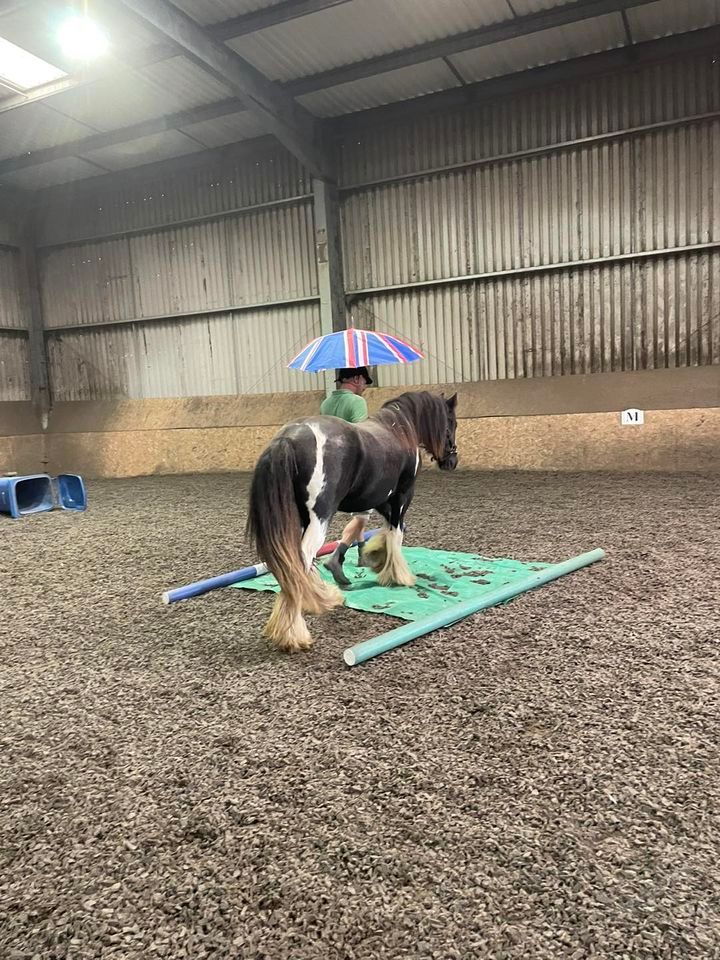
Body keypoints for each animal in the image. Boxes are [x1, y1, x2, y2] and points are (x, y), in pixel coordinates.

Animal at [246, 390, 458, 653]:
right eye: (452, 423)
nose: (452, 461)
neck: (400, 429)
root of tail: (288, 438)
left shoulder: (381, 501)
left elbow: (383, 532)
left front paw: (375, 558)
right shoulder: (401, 498)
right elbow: (396, 534)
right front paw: (398, 575)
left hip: (300, 520)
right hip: (319, 520)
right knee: (299, 564)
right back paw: (293, 634)